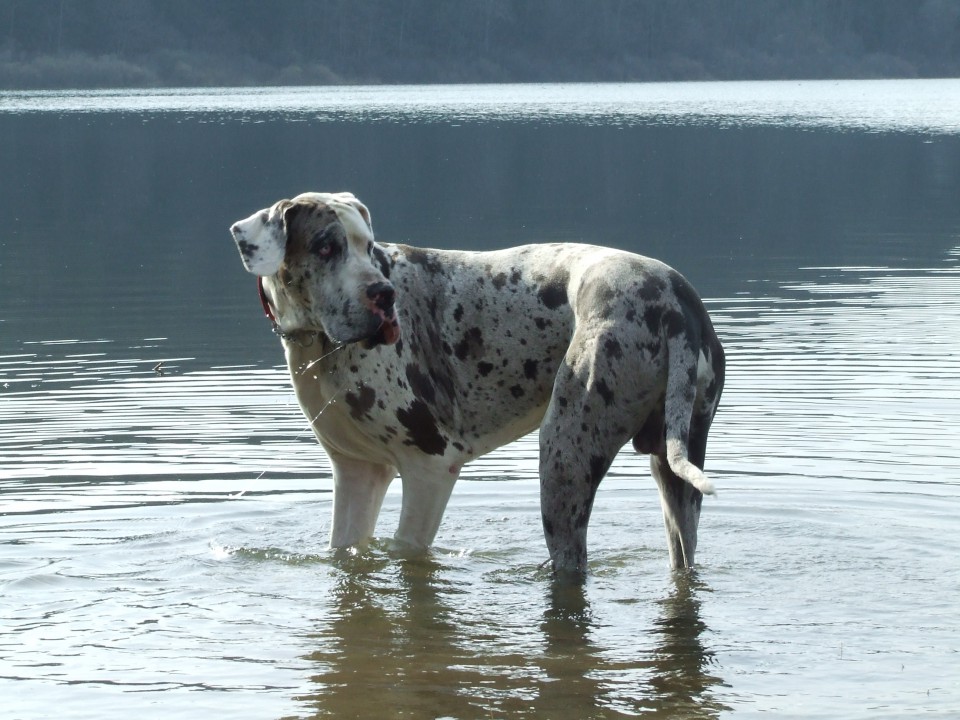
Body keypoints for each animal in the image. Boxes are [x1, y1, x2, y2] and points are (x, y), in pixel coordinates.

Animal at [232, 191, 724, 580]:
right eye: (325, 247)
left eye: (367, 247)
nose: (384, 295)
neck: (317, 343)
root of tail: (676, 304)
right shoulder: (357, 473)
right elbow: (346, 549)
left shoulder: (429, 469)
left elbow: (406, 553)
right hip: (675, 477)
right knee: (684, 553)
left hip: (563, 457)